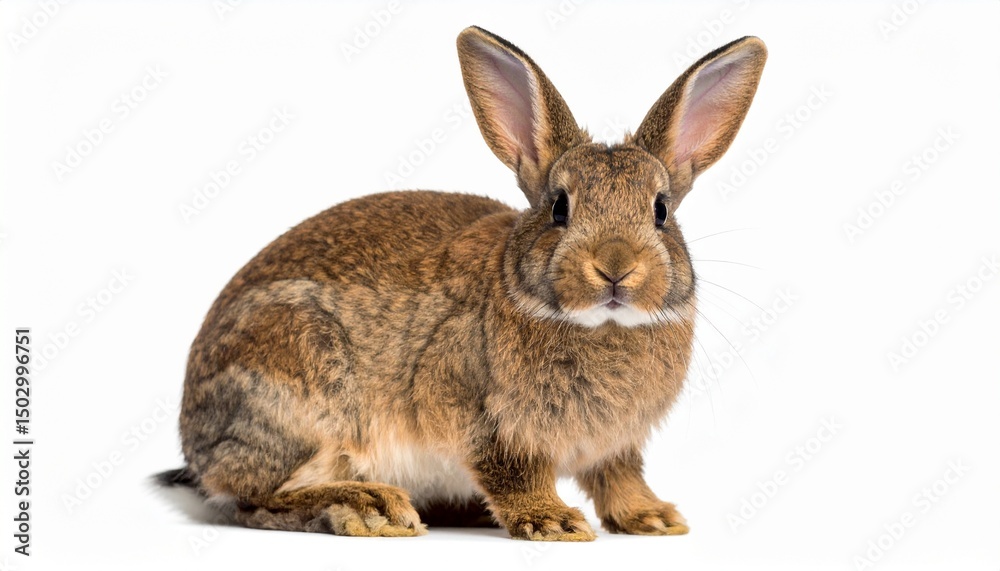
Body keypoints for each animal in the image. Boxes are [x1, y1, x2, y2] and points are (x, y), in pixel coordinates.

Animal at [164, 26, 766, 541]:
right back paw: (369, 506)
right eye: (559, 207)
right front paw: (553, 522)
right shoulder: (475, 414)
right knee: (253, 497)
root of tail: (196, 442)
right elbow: (511, 471)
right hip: (299, 385)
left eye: (661, 211)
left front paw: (653, 518)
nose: (615, 266)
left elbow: (619, 477)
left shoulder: (614, 446)